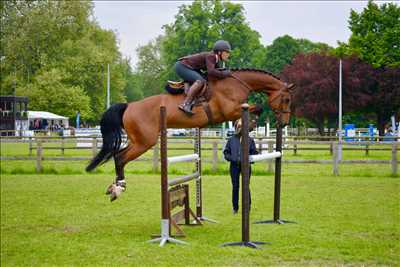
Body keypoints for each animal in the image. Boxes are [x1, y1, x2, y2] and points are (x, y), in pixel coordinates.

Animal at [85, 68, 294, 201]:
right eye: (286, 99)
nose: (284, 123)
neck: (236, 83)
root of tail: (129, 106)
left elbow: (255, 109)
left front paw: (245, 124)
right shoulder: (230, 110)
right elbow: (256, 108)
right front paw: (246, 123)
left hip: (139, 140)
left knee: (118, 156)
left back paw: (113, 187)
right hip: (145, 141)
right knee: (120, 157)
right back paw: (119, 188)